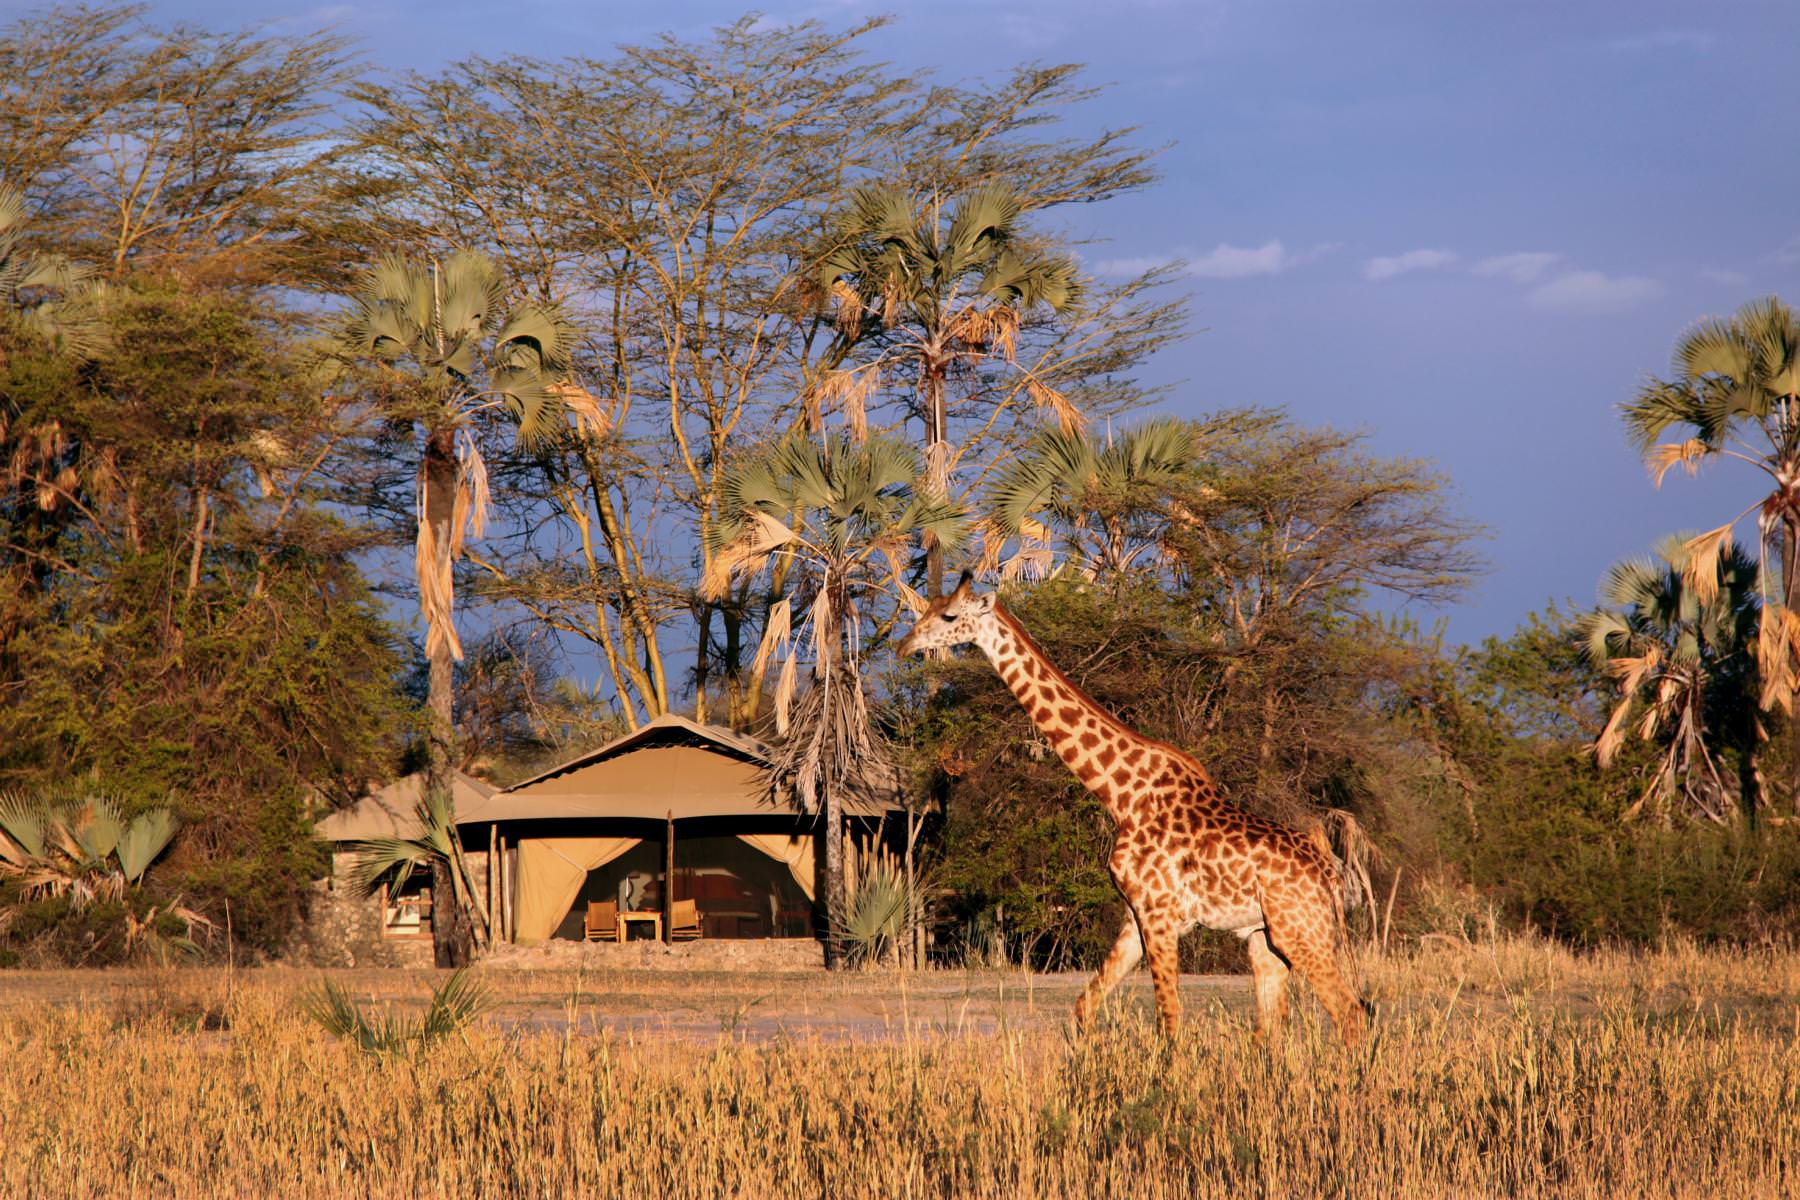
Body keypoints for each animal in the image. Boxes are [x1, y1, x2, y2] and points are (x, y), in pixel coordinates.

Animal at [897, 573, 1366, 1046]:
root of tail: (1334, 877)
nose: (903, 645)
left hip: (1301, 930)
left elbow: (1169, 1022)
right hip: (1264, 936)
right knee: (1273, 1027)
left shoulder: (1159, 914)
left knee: (1351, 1013)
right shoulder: (1134, 915)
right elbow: (1083, 1009)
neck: (1122, 796)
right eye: (925, 610)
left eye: (949, 616)